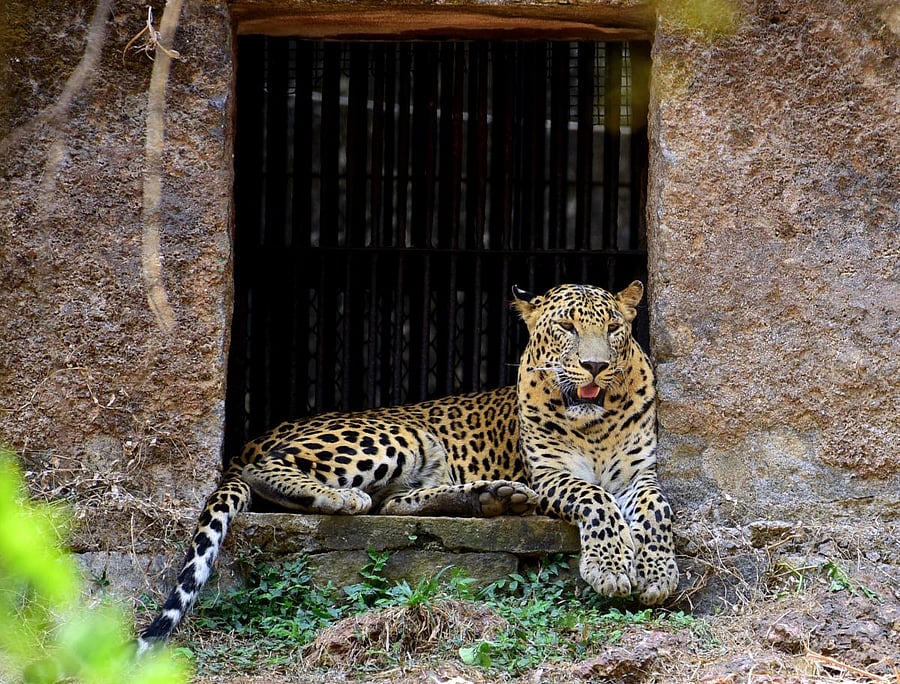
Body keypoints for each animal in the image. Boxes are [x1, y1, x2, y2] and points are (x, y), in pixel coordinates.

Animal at [136, 281, 678, 652]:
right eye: (566, 329)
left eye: (613, 330)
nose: (595, 367)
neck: (594, 424)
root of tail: (249, 441)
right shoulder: (549, 474)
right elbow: (596, 498)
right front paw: (612, 567)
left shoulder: (640, 477)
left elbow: (657, 509)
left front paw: (657, 573)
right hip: (397, 435)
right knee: (270, 474)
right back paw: (340, 496)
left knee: (393, 503)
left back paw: (488, 498)